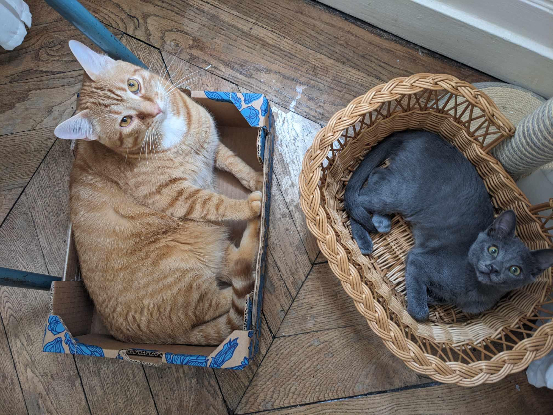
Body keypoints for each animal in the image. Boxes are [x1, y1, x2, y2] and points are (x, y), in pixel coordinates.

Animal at [54, 40, 264, 345]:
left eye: (133, 85)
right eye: (125, 120)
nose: (154, 109)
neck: (175, 135)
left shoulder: (213, 146)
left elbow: (236, 164)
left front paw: (258, 178)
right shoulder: (180, 197)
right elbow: (217, 203)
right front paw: (249, 205)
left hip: (210, 240)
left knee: (237, 265)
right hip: (187, 266)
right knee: (225, 296)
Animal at [344, 130, 553, 322]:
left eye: (515, 270)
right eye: (493, 250)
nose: (493, 268)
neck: (477, 291)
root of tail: (422, 133)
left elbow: (437, 298)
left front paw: (432, 296)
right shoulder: (418, 260)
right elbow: (421, 311)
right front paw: (417, 308)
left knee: (376, 176)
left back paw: (381, 221)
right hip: (401, 193)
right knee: (356, 199)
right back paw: (365, 237)